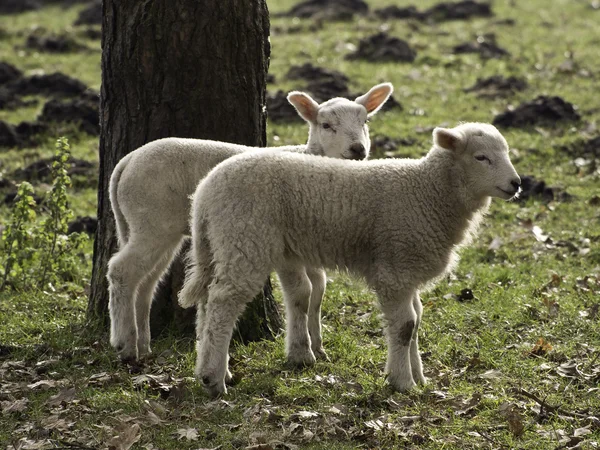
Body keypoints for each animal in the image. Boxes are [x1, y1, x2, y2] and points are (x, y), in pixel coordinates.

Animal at [105, 81, 394, 362]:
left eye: (365, 121)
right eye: (326, 125)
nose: (358, 149)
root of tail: (127, 161)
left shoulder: (310, 240)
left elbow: (319, 290)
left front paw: (319, 347)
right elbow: (303, 291)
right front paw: (304, 351)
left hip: (150, 226)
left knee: (145, 281)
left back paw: (142, 344)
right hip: (151, 220)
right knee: (122, 271)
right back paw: (125, 344)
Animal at [178, 121, 520, 396]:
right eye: (481, 157)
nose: (516, 184)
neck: (427, 192)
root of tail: (204, 193)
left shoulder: (407, 271)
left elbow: (416, 322)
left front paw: (419, 377)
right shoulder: (395, 270)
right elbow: (405, 326)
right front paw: (403, 382)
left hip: (223, 242)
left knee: (207, 300)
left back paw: (211, 368)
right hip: (245, 237)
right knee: (223, 302)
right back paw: (213, 379)